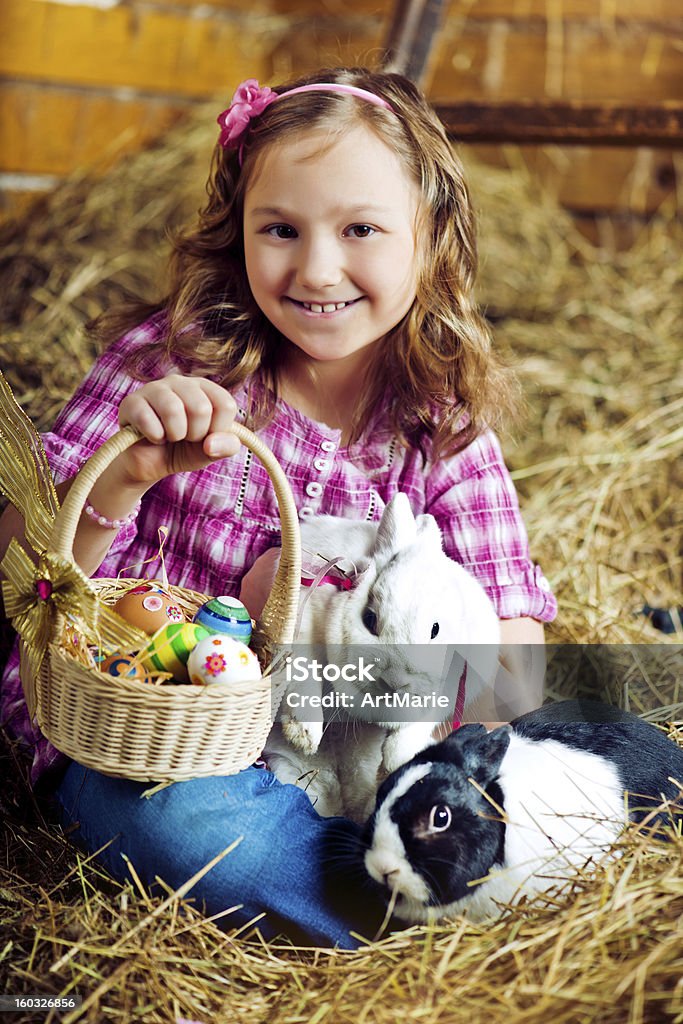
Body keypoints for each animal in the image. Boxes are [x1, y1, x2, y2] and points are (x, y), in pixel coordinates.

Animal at [264, 493, 499, 823]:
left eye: (435, 629)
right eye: (370, 619)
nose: (395, 681)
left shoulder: (452, 683)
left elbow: (416, 724)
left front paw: (400, 758)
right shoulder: (303, 623)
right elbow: (304, 676)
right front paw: (304, 735)